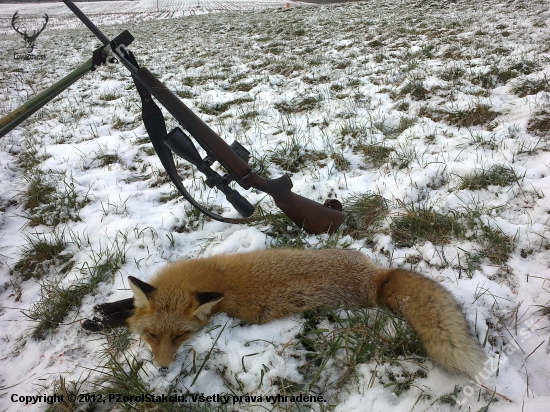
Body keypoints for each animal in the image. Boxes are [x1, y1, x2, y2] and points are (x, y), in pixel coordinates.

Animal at [83, 248, 488, 376]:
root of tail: (376, 278)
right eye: (152, 335)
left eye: (181, 336)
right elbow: (127, 306)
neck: (202, 278)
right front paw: (100, 313)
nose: (164, 368)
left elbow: (125, 313)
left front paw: (99, 320)